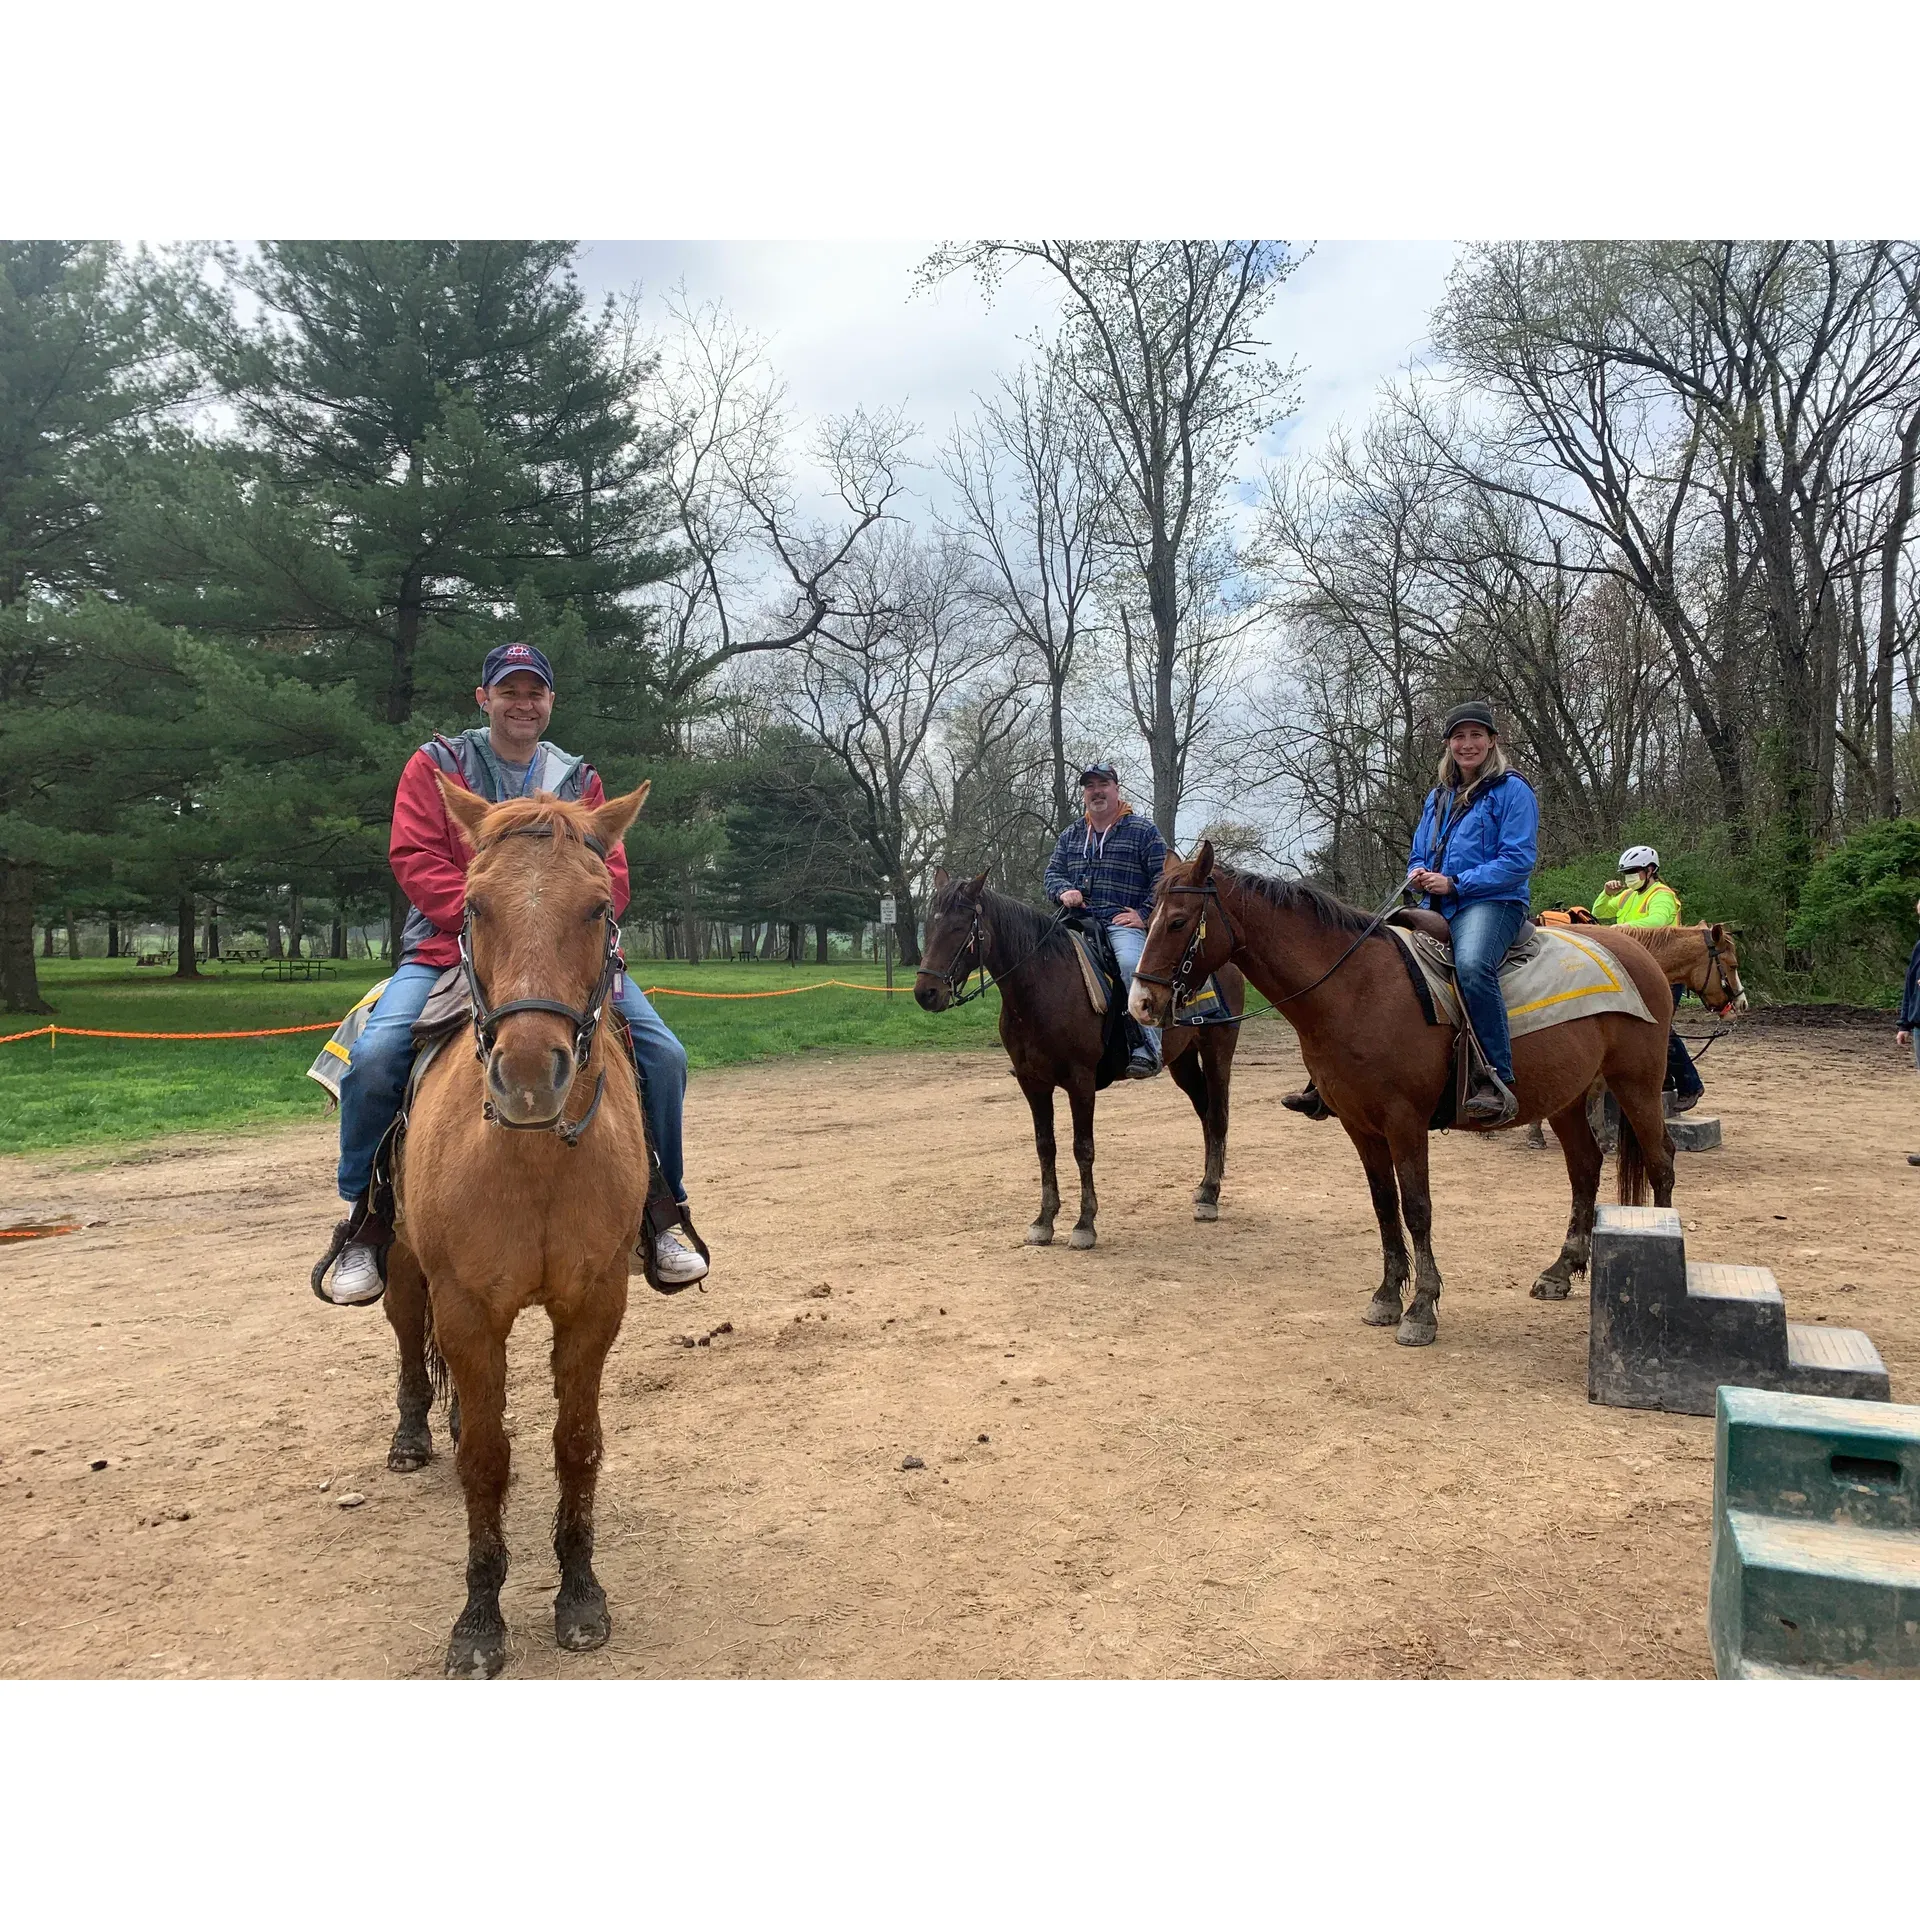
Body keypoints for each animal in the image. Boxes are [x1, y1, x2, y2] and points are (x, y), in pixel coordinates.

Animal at [378, 779, 656, 1681]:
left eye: (598, 906)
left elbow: (577, 1442)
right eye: (473, 906)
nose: (531, 1076)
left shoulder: (594, 1303)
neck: (530, 1160)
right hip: (401, 1263)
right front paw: (478, 1619)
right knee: (408, 1338)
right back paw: (412, 1433)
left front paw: (579, 1594)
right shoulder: (466, 1306)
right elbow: (486, 1462)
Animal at [910, 867, 1244, 1244]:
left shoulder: (1080, 1081)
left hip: (1217, 1051)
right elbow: (1045, 1146)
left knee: (1217, 1115)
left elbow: (1082, 1148)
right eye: (929, 924)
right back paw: (1203, 1189)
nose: (926, 993)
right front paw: (1044, 1219)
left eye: (959, 927)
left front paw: (1085, 1223)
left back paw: (1211, 1197)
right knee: (1204, 1112)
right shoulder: (1032, 1082)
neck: (1044, 984)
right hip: (1183, 1061)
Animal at [1128, 848, 1674, 1359]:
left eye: (1177, 921)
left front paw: (1421, 1310)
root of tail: (1636, 951)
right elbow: (1384, 1206)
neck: (1354, 989)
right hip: (1567, 1098)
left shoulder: (1404, 1122)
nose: (1141, 1004)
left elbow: (1417, 1209)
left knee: (1660, 1162)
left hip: (1637, 1085)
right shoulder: (1360, 1125)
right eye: (1149, 916)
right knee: (1584, 1167)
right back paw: (1561, 1270)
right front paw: (1388, 1296)